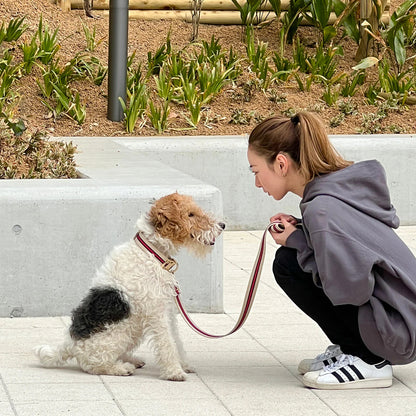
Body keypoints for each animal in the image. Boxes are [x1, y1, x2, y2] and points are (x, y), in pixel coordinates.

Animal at [34, 192, 226, 380]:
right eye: (190, 214)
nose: (222, 225)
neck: (152, 252)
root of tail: (70, 343)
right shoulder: (157, 313)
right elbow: (167, 342)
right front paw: (175, 372)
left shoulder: (167, 310)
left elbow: (176, 340)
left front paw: (184, 366)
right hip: (119, 336)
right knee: (93, 364)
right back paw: (121, 368)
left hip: (133, 331)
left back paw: (132, 360)